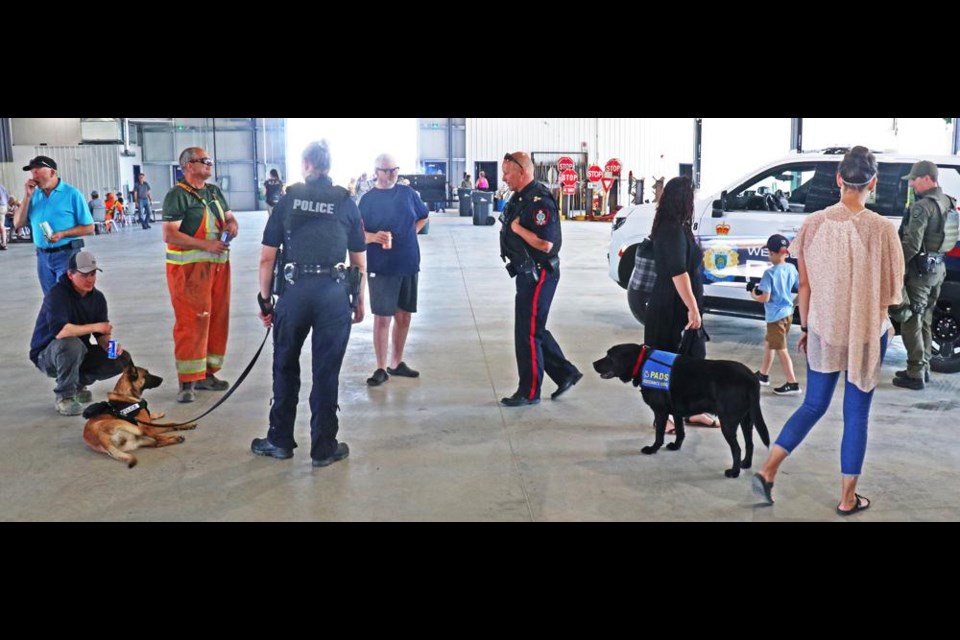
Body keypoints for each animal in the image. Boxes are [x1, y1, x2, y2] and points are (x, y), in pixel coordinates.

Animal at [592, 342, 772, 478]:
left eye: (610, 356)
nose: (593, 364)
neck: (642, 361)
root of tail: (751, 378)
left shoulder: (661, 411)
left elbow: (659, 435)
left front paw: (653, 449)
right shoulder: (676, 411)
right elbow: (680, 431)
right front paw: (675, 446)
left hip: (728, 422)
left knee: (737, 448)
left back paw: (734, 472)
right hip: (747, 420)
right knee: (749, 444)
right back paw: (745, 464)